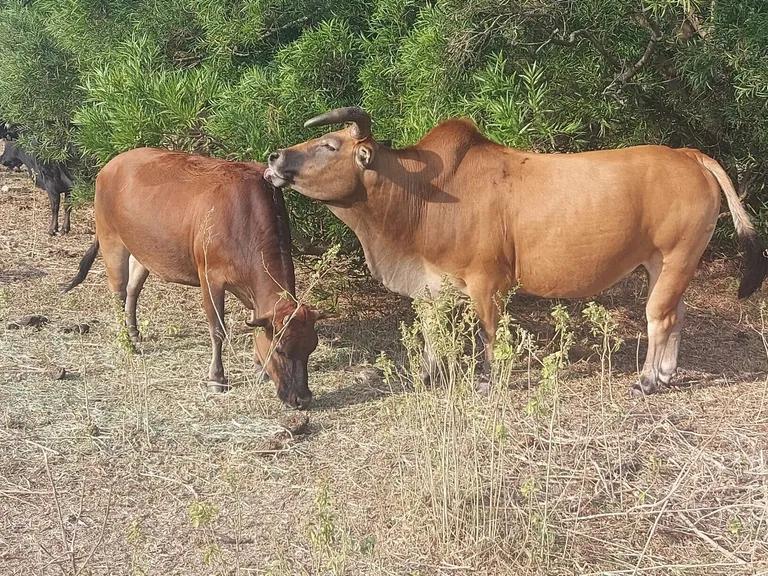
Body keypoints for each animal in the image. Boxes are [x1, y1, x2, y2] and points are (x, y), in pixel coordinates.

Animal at [61, 148, 322, 410]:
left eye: (311, 347)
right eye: (280, 350)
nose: (302, 398)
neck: (243, 217)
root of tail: (113, 163)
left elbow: (255, 323)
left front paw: (259, 368)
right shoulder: (210, 277)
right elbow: (218, 330)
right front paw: (217, 378)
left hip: (143, 249)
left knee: (133, 289)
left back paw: (135, 333)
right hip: (110, 239)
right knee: (118, 292)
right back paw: (127, 341)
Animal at [266, 107, 768, 396]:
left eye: (329, 144)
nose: (274, 158)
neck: (423, 195)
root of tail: (688, 154)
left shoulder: (487, 282)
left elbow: (490, 338)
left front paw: (491, 382)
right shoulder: (431, 285)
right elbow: (430, 334)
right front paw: (428, 375)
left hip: (676, 257)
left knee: (658, 317)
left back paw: (646, 381)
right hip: (661, 265)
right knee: (677, 314)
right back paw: (663, 374)